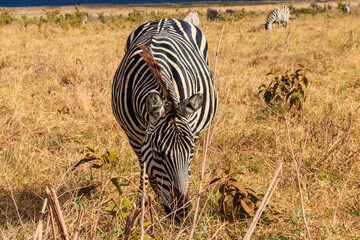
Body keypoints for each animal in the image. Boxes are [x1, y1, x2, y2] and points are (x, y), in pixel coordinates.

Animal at [111, 18, 218, 214]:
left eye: (190, 150)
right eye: (158, 153)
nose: (181, 211)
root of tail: (165, 19)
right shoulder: (135, 139)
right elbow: (146, 171)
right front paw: (145, 203)